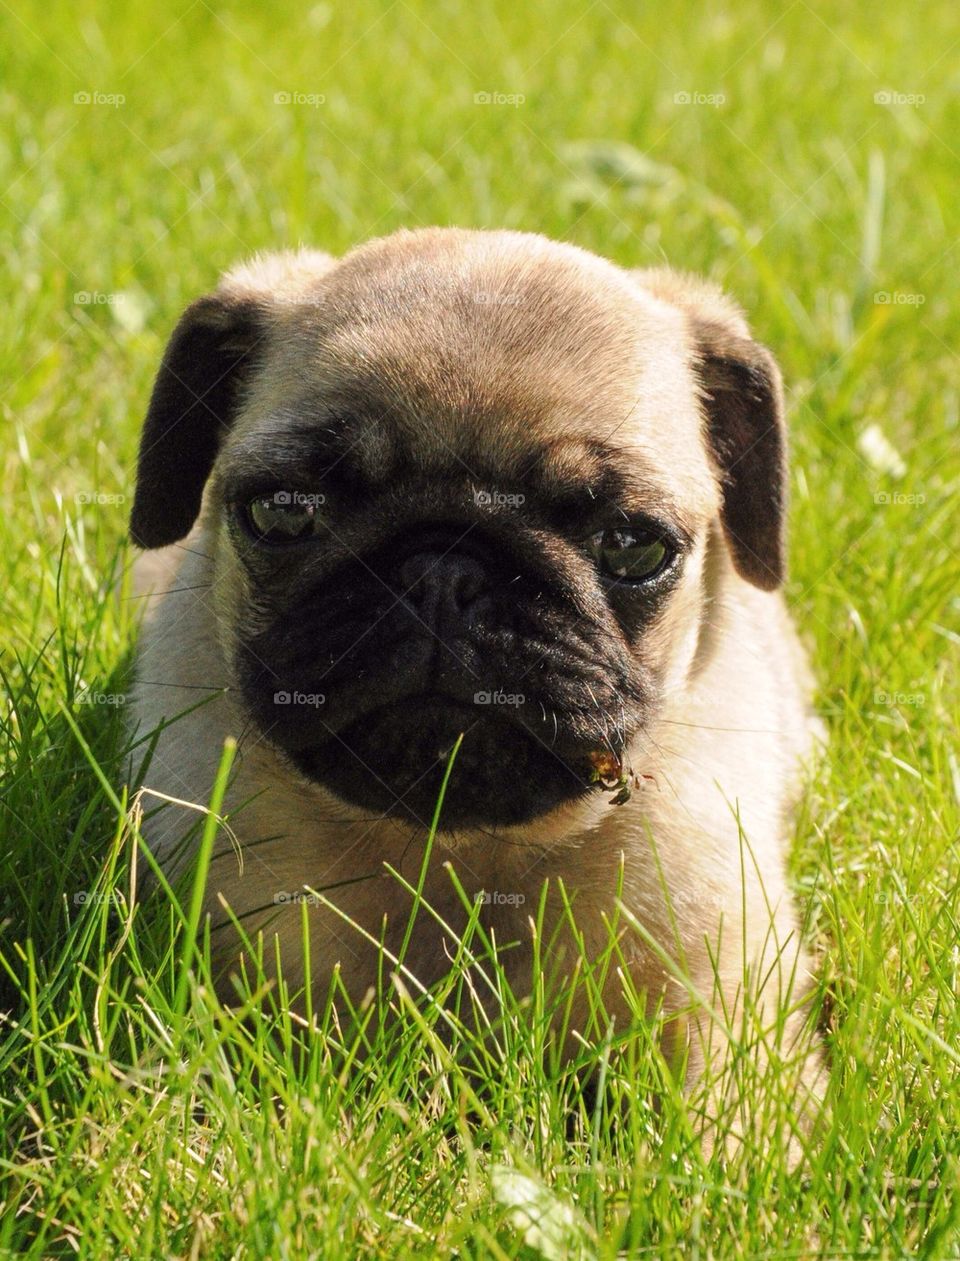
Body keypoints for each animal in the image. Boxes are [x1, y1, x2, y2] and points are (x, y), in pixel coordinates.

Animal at [127, 229, 822, 1144]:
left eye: (633, 544)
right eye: (284, 512)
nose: (445, 572)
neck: (456, 855)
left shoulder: (723, 1002)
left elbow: (724, 1128)